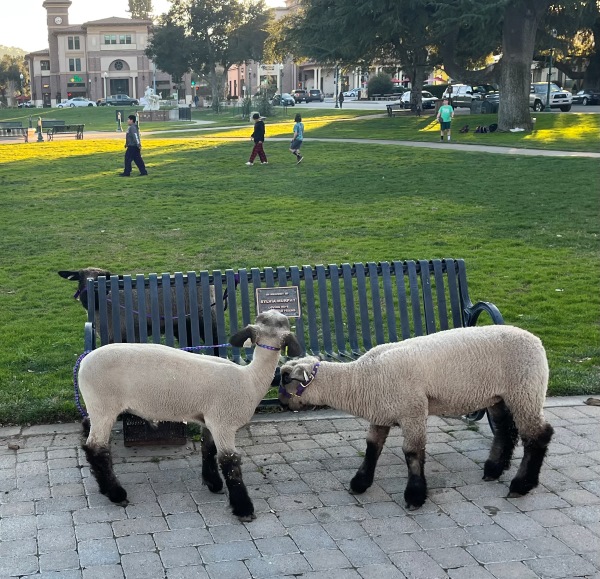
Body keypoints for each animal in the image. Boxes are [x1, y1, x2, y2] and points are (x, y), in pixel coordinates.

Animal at [79, 310, 302, 524]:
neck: (250, 379)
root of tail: (83, 364)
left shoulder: (210, 420)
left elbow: (208, 450)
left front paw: (213, 482)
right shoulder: (223, 423)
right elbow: (230, 462)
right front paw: (243, 508)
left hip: (96, 407)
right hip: (103, 406)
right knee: (96, 448)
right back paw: (116, 493)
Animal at [278, 326, 556, 512]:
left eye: (285, 378)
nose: (280, 403)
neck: (360, 379)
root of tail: (536, 340)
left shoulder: (413, 411)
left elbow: (412, 453)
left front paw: (414, 495)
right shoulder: (382, 411)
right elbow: (372, 447)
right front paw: (360, 482)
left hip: (526, 390)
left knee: (538, 435)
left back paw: (521, 485)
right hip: (497, 396)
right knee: (504, 430)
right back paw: (493, 470)